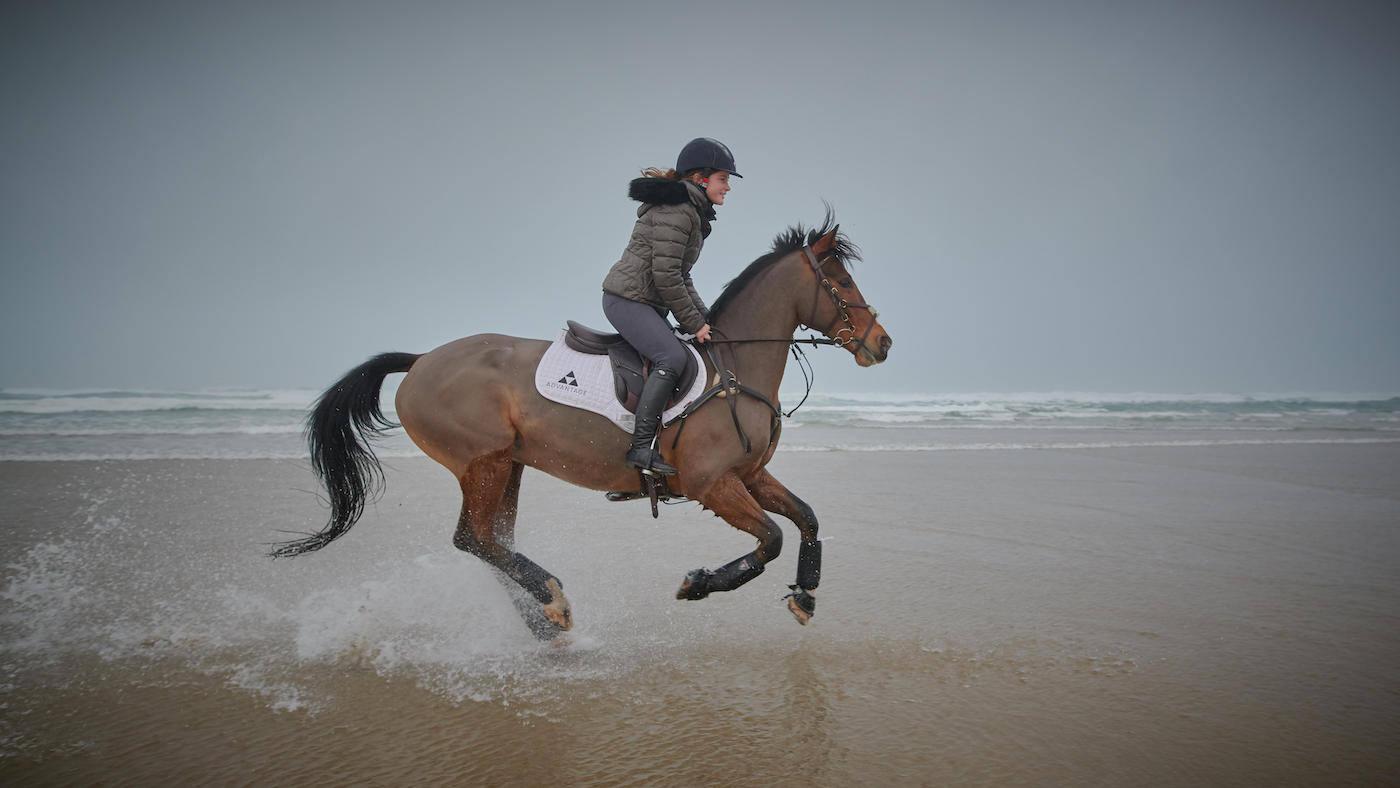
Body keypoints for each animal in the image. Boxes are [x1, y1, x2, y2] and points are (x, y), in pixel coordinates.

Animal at [273, 213, 892, 639]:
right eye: (841, 283)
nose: (882, 344)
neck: (736, 369)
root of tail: (422, 360)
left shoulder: (750, 476)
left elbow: (807, 520)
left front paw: (805, 597)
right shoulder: (712, 484)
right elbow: (771, 539)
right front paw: (698, 584)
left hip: (509, 468)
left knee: (491, 542)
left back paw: (542, 620)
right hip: (482, 462)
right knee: (474, 539)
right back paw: (554, 600)